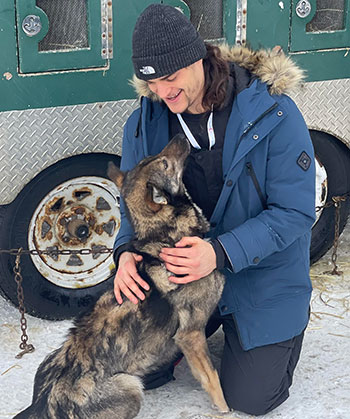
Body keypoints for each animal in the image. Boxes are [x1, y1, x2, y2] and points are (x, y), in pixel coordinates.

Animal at [15, 136, 230, 418]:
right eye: (165, 162)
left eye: (155, 157)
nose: (180, 138)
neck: (166, 236)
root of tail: (47, 402)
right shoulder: (191, 335)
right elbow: (214, 379)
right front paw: (226, 409)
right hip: (130, 385)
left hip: (49, 360)